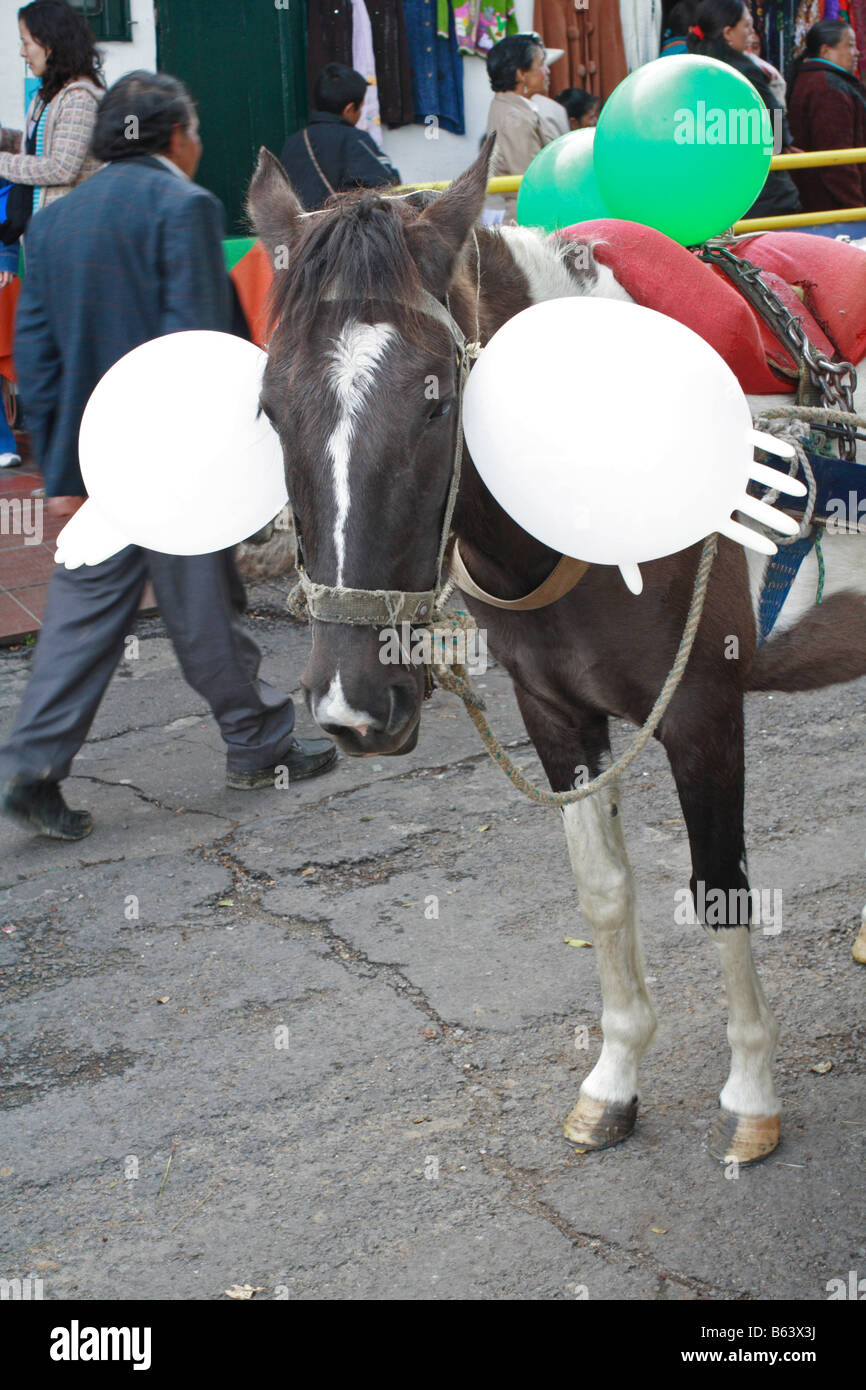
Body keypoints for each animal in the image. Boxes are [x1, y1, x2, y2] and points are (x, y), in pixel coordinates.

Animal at [246, 138, 866, 1162]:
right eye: (268, 407)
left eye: (438, 403)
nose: (350, 705)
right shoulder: (553, 710)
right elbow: (603, 891)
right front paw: (614, 1077)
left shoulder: (702, 711)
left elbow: (721, 890)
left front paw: (750, 1092)